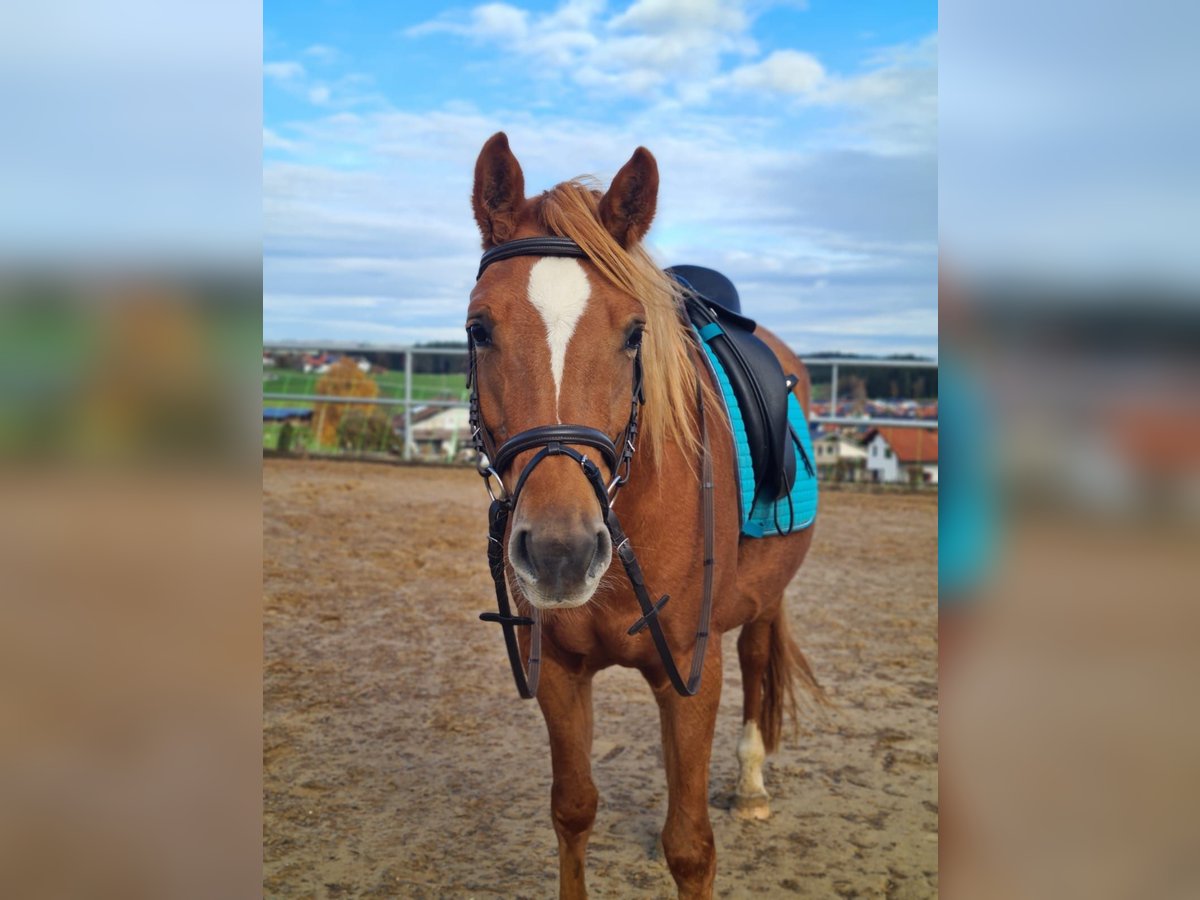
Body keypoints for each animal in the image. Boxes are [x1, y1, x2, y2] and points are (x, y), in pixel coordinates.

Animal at [465, 132, 824, 900]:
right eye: (478, 329)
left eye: (635, 334)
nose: (561, 553)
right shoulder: (561, 673)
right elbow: (573, 810)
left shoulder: (691, 675)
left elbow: (689, 846)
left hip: (765, 598)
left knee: (758, 659)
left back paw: (751, 784)